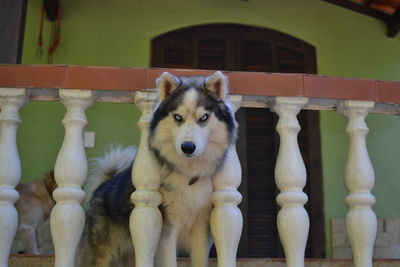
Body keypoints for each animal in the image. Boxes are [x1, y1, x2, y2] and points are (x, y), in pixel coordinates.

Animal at [78, 71, 238, 267]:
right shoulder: (167, 229)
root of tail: (105, 183)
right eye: (178, 117)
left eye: (204, 118)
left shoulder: (200, 230)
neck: (189, 174)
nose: (188, 147)